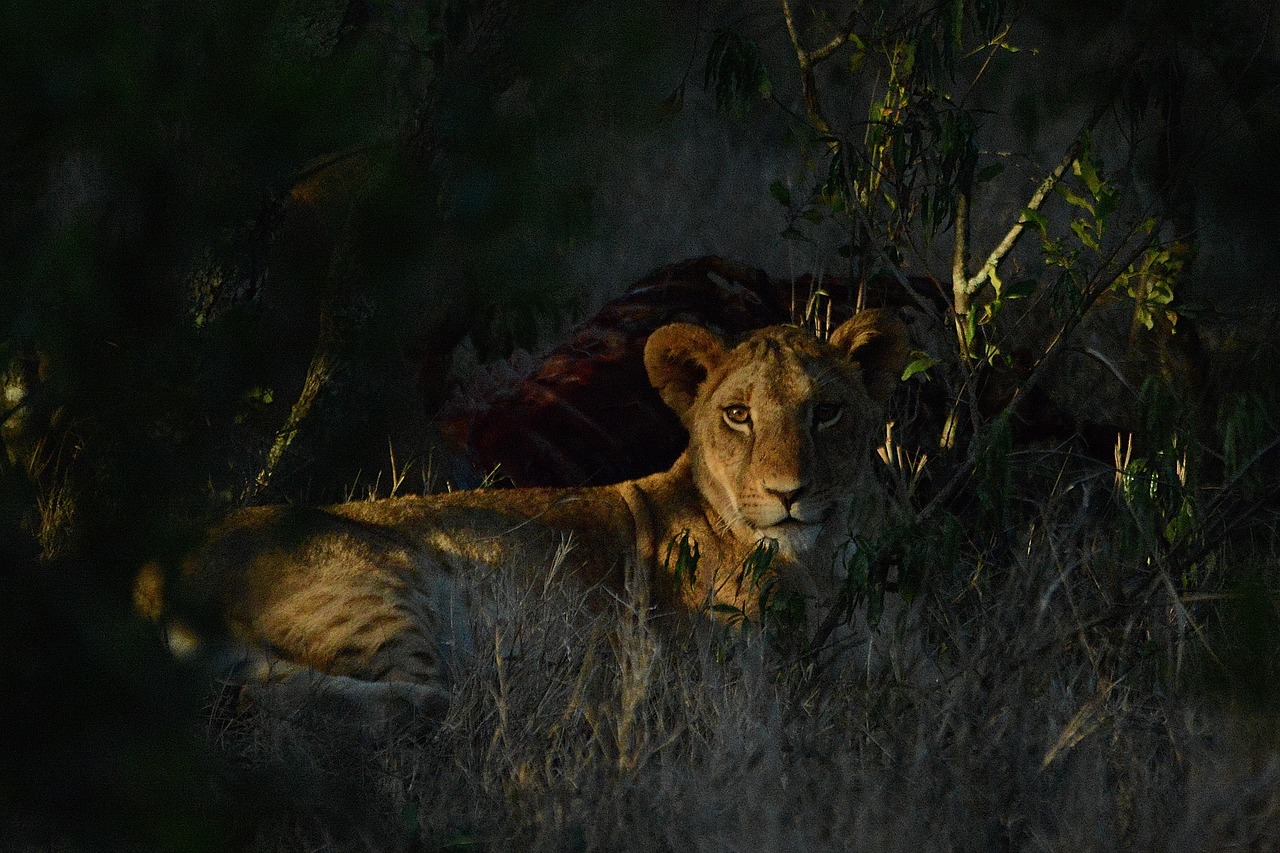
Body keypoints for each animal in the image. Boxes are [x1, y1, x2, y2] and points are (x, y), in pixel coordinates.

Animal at [141, 311, 908, 714]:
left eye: (827, 411)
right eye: (738, 415)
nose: (788, 493)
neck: (813, 564)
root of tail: (146, 573)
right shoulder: (723, 672)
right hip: (377, 590)